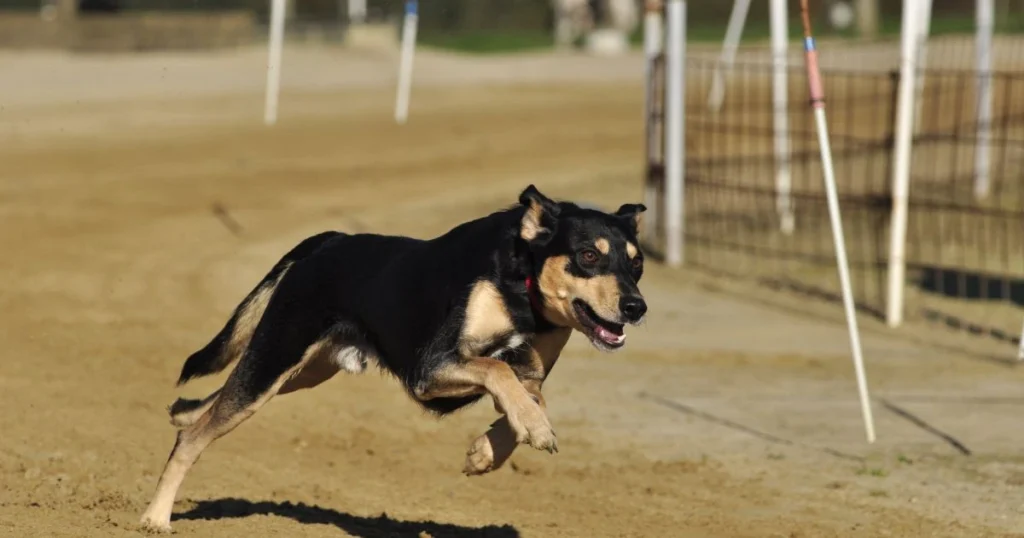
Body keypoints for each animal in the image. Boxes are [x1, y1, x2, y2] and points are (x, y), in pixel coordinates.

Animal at [140, 184, 647, 528]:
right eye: (588, 255)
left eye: (637, 263)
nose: (636, 307)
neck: (522, 289)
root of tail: (330, 240)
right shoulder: (430, 368)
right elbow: (497, 368)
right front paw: (533, 431)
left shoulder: (530, 375)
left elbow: (527, 396)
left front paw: (486, 452)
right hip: (276, 357)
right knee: (194, 439)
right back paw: (156, 517)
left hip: (300, 370)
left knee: (209, 407)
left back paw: (182, 412)